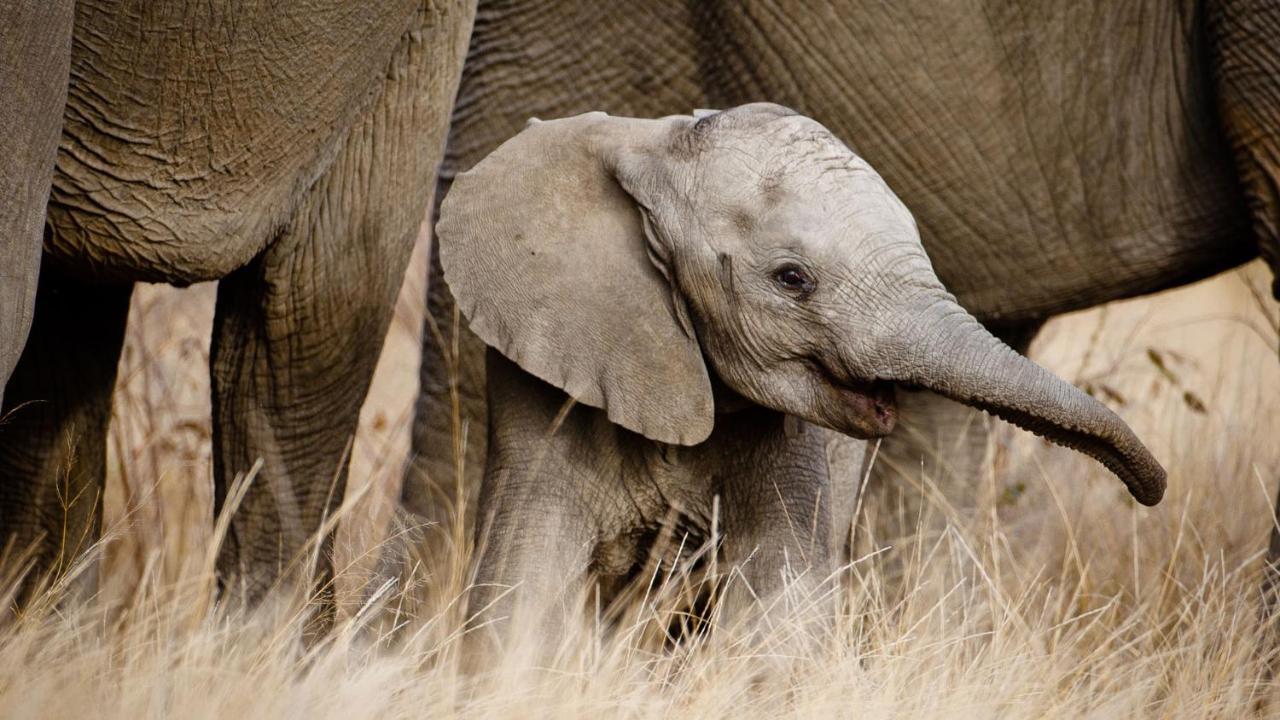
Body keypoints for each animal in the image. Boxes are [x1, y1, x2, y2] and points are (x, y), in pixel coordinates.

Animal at [435, 101, 1167, 645]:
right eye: (793, 279)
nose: (1152, 490)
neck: (656, 147)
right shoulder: (544, 379)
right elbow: (519, 586)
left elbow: (779, 602)